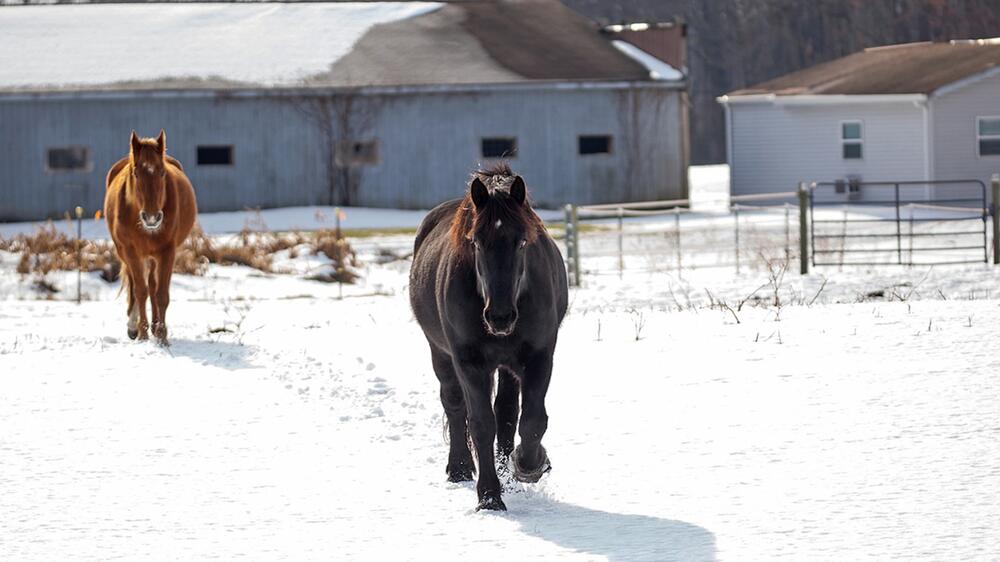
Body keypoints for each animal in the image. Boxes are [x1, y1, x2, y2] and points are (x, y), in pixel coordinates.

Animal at [105, 129, 199, 344]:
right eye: (136, 173)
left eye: (162, 172)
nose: (152, 218)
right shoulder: (131, 252)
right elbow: (141, 291)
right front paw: (142, 334)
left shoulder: (167, 252)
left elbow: (161, 293)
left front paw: (162, 336)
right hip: (127, 253)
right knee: (135, 284)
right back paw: (134, 326)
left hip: (153, 256)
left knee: (153, 286)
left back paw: (155, 327)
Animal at [408, 164, 568, 510]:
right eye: (477, 242)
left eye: (522, 242)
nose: (500, 317)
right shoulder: (469, 362)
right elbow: (481, 423)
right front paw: (490, 496)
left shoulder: (539, 356)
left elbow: (531, 420)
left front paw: (529, 466)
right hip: (440, 354)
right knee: (454, 406)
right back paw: (459, 468)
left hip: (507, 366)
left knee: (506, 412)